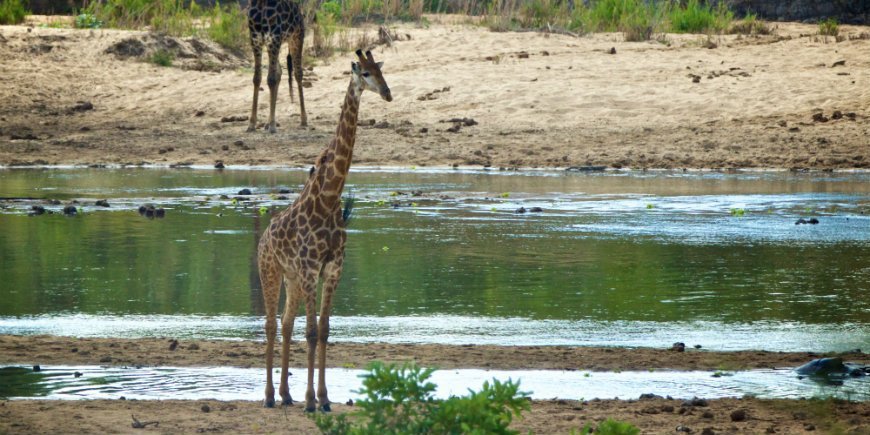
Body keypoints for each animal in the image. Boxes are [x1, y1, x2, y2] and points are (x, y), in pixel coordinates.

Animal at [247, 0, 308, 133]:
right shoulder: (255, 39)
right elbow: (257, 78)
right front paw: (252, 124)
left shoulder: (274, 38)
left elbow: (271, 79)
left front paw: (272, 125)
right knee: (279, 72)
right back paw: (268, 122)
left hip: (296, 37)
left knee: (298, 73)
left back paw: (304, 119)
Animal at [258, 49, 394, 410]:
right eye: (364, 73)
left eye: (381, 71)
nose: (387, 93)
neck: (330, 198)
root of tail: (263, 237)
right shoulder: (310, 270)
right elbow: (311, 332)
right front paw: (310, 400)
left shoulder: (332, 269)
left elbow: (324, 329)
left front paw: (324, 398)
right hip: (271, 272)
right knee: (271, 325)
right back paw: (269, 397)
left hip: (290, 279)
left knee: (286, 324)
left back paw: (285, 394)